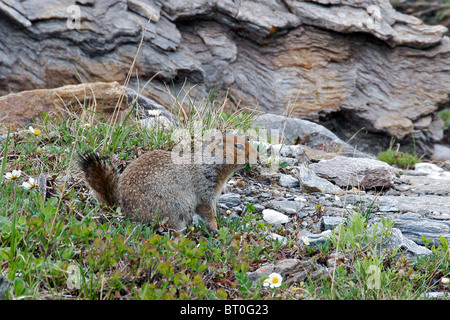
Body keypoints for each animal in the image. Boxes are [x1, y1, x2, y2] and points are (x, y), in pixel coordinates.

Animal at [79, 134, 258, 234]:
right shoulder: (204, 187)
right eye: (238, 146)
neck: (209, 163)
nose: (257, 155)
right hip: (173, 207)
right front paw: (216, 227)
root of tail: (122, 208)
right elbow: (206, 210)